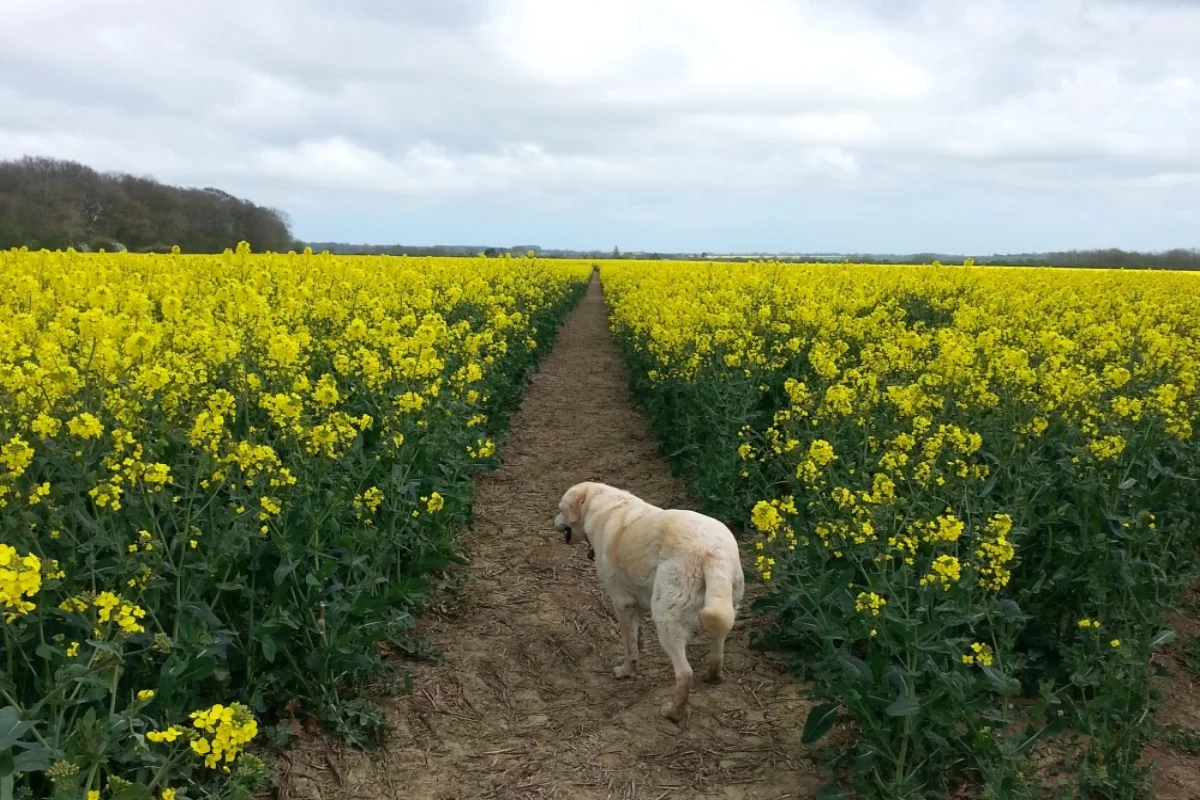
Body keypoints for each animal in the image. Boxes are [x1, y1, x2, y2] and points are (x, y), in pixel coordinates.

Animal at [553, 481, 745, 722]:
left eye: (561, 510)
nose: (554, 523)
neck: (602, 506)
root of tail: (712, 551)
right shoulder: (637, 601)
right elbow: (637, 636)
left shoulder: (621, 603)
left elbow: (629, 645)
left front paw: (626, 671)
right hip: (726, 606)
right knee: (718, 647)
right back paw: (713, 677)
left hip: (666, 619)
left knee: (685, 673)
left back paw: (673, 712)